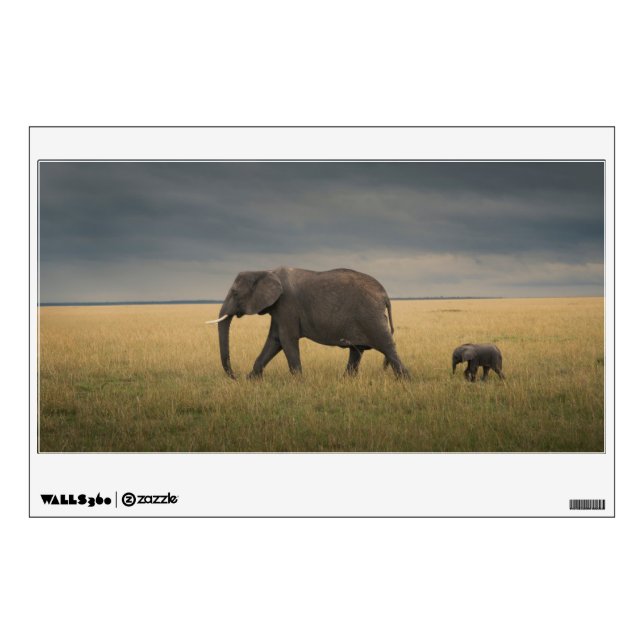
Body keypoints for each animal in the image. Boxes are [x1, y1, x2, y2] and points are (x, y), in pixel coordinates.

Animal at [207, 266, 409, 380]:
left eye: (235, 293)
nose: (235, 376)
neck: (265, 271)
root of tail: (385, 295)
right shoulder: (278, 308)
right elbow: (275, 340)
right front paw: (251, 379)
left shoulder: (286, 304)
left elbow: (286, 339)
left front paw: (298, 381)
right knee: (356, 350)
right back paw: (345, 380)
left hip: (370, 316)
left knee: (387, 346)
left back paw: (404, 380)